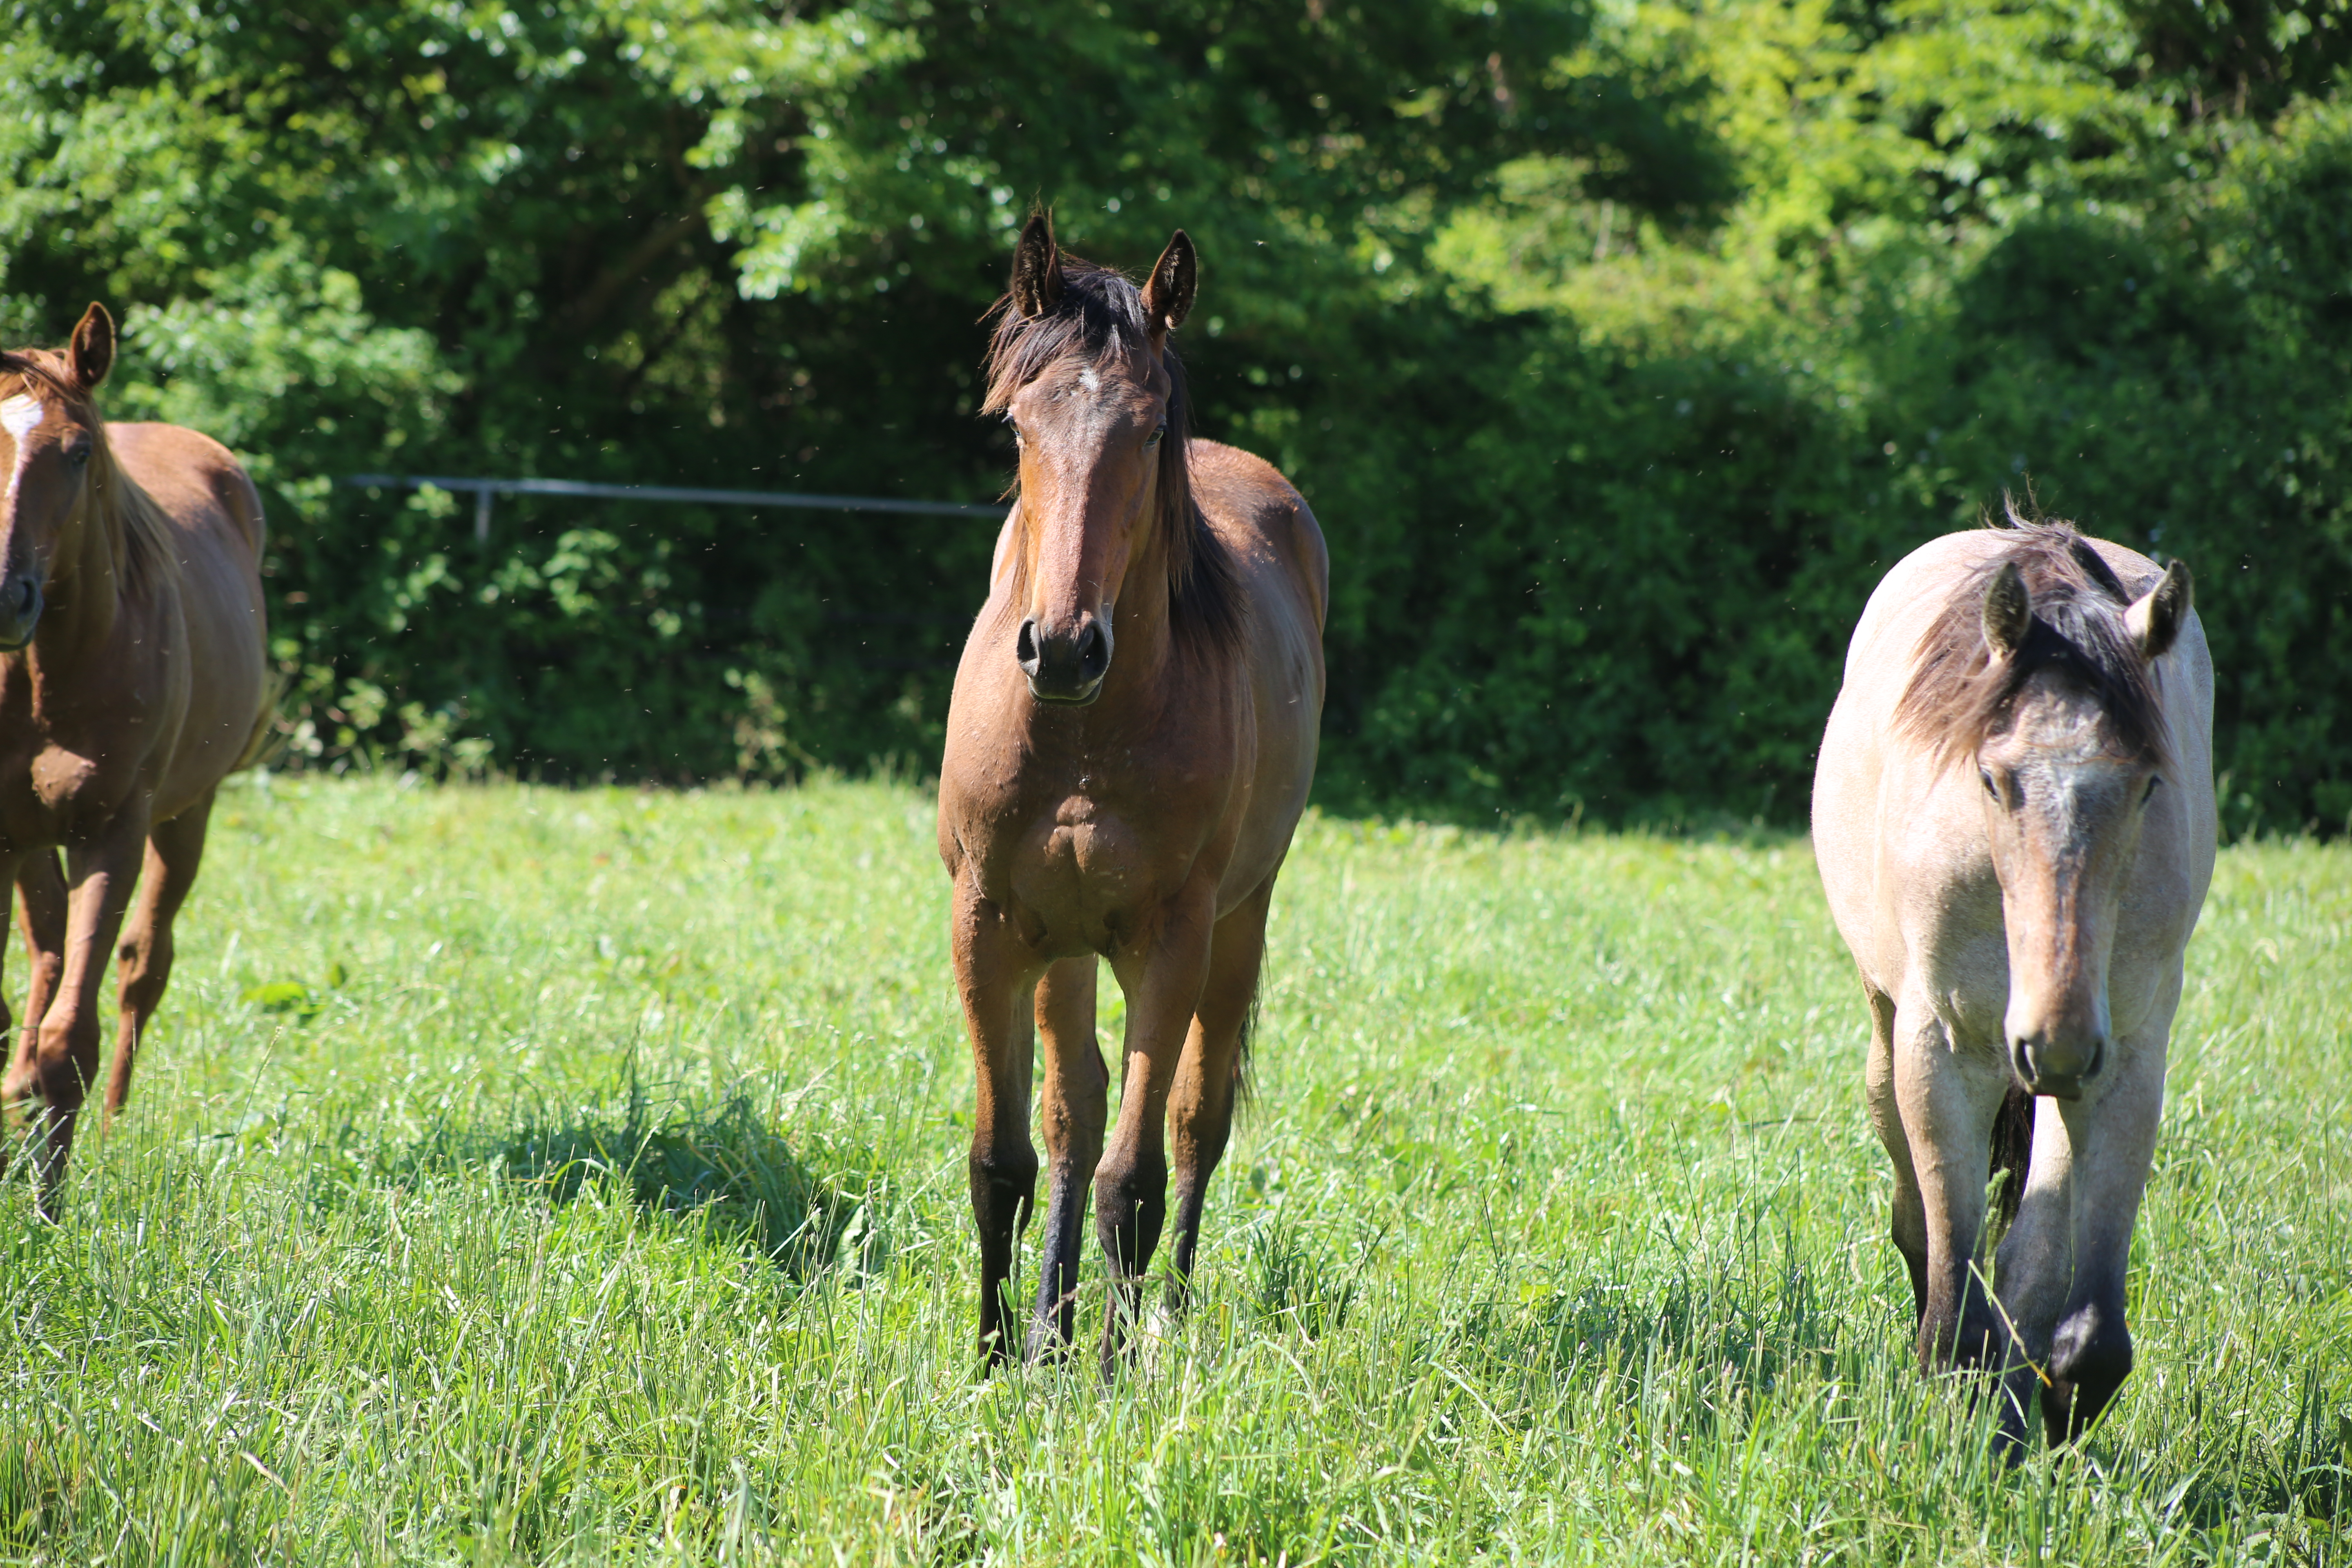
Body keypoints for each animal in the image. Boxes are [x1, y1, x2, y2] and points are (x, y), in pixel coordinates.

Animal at [0, 305, 270, 1213]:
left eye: (79, 452)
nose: (5, 595)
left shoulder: (111, 832)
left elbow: (71, 1040)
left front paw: (48, 1211)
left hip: (187, 817)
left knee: (141, 968)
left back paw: (109, 1126)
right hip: (28, 840)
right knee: (47, 952)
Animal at [945, 217, 1336, 1373]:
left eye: (1151, 424)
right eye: (1017, 423)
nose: (1064, 646)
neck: (1082, 734)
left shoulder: (1172, 942)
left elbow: (1136, 1176)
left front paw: (1115, 1371)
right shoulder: (988, 927)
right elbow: (1006, 1157)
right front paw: (996, 1358)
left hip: (1237, 926)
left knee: (1193, 1125)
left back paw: (1153, 1319)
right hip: (1064, 947)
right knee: (1073, 1112)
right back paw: (1052, 1326)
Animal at [1806, 517, 2211, 1457]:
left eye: (2147, 783)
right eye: (1992, 779)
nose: (2053, 1042)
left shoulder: (2125, 1058)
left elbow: (2076, 1309)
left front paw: (2038, 1425)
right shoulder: (1942, 1053)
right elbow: (1952, 1291)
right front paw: (1960, 1433)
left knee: (2030, 1255)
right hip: (1891, 1036)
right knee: (1920, 1223)